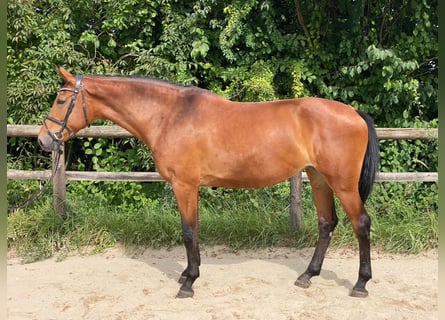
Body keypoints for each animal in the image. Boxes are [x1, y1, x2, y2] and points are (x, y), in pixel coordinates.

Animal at [39, 66, 378, 298]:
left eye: (60, 100)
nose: (44, 139)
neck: (170, 116)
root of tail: (354, 112)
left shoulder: (185, 185)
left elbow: (189, 231)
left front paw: (188, 282)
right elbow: (193, 231)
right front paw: (189, 273)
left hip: (343, 184)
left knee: (361, 223)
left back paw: (361, 283)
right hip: (318, 178)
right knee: (326, 223)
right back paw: (308, 274)